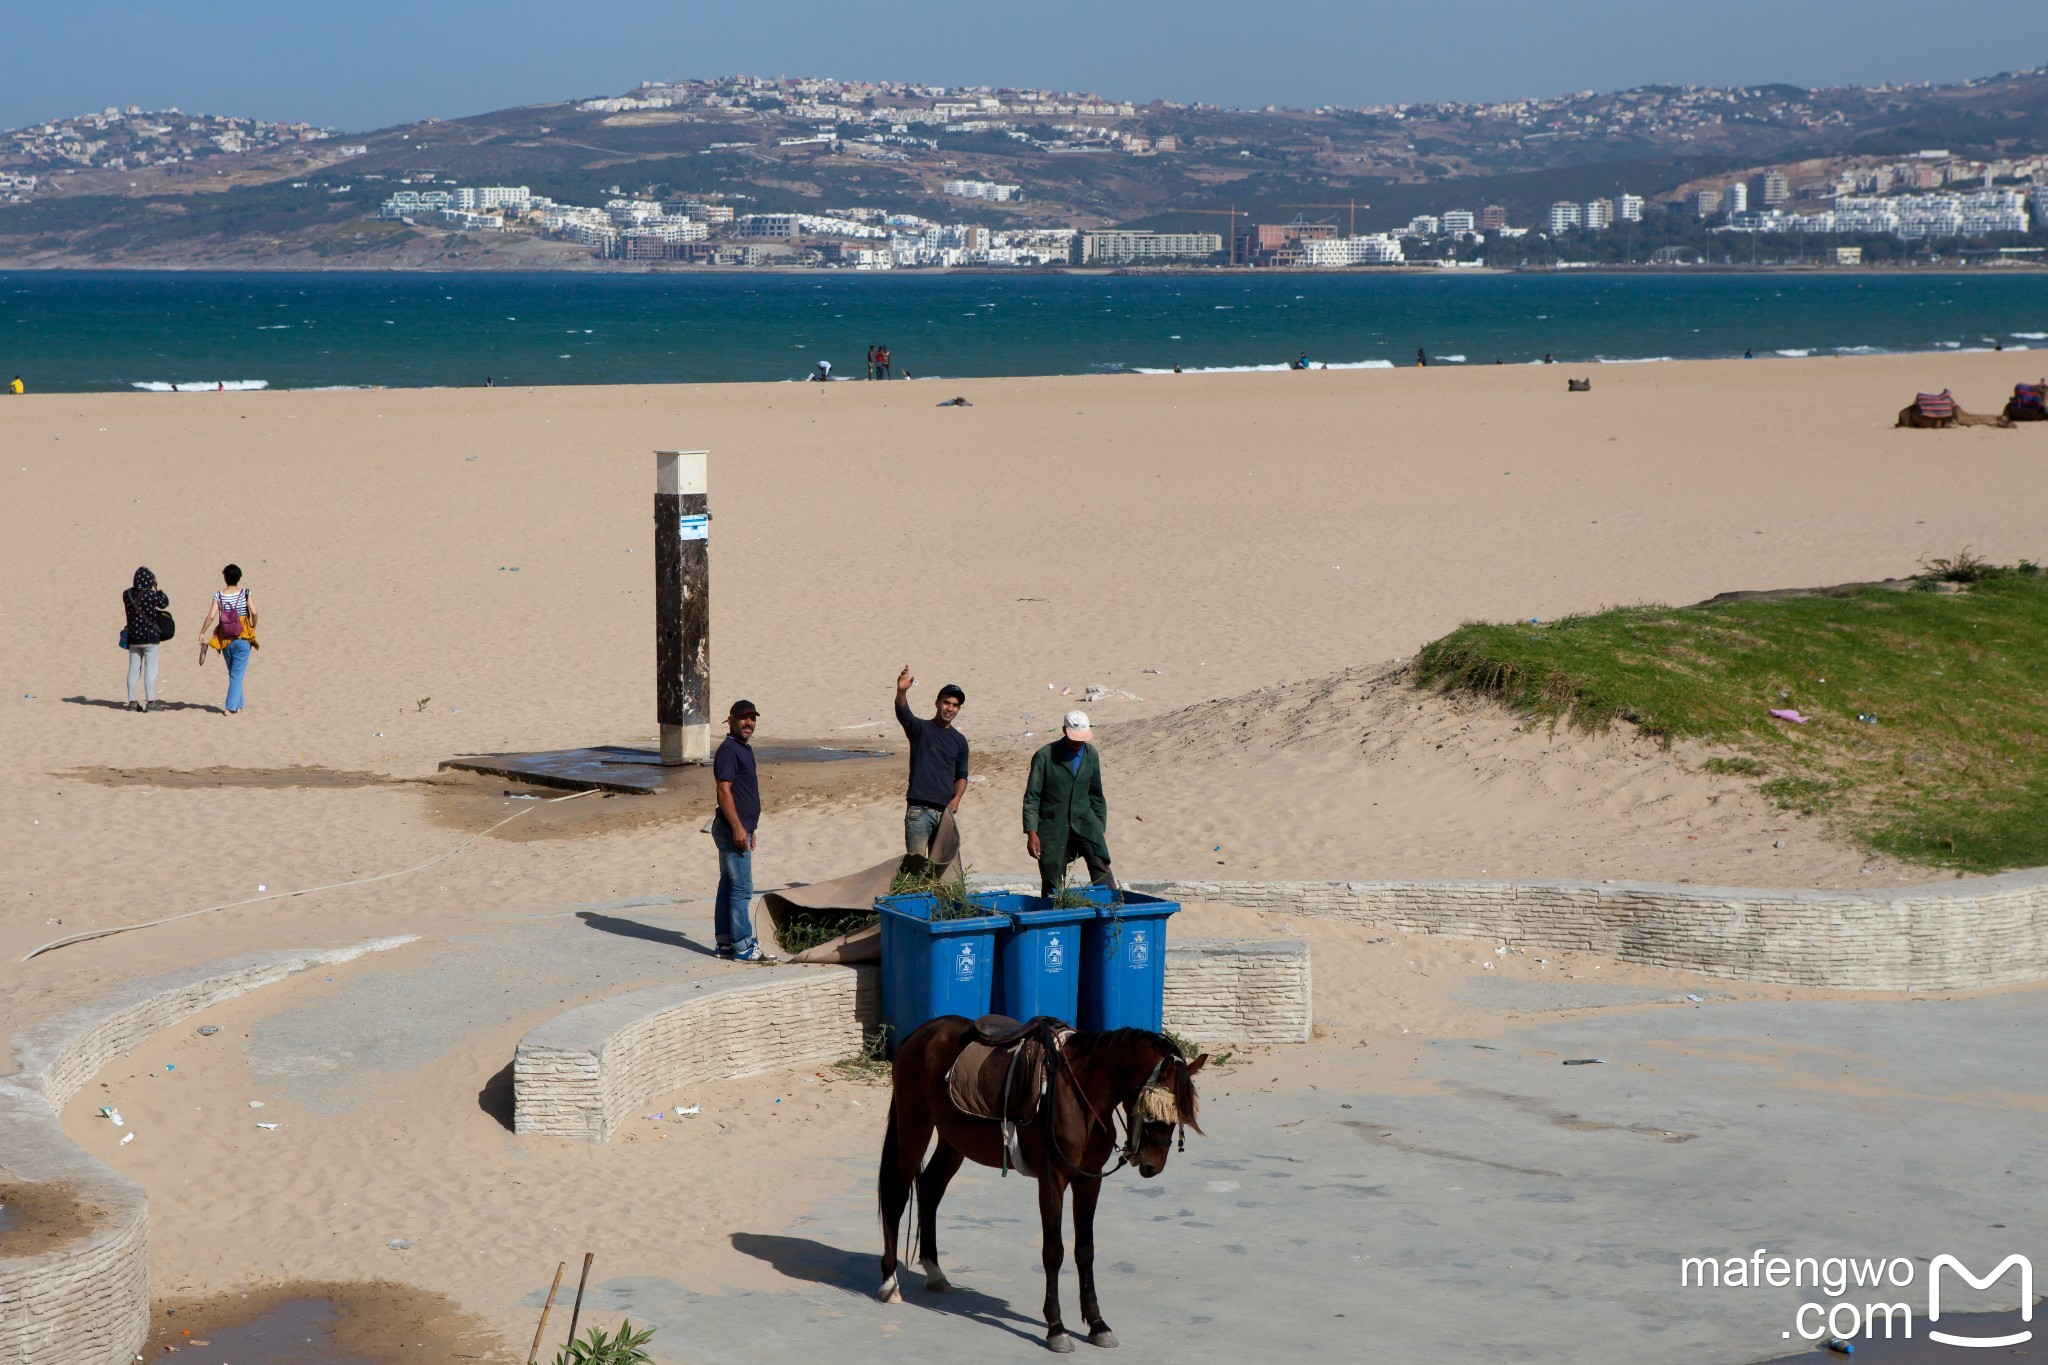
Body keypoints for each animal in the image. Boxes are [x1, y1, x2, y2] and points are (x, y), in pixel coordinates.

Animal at [876, 1015, 1196, 1358]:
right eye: (1152, 1111)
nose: (1153, 1165)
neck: (1083, 1095)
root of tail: (920, 1033)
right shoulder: (1052, 1178)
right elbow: (1054, 1251)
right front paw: (1056, 1328)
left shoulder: (1088, 1179)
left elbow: (1085, 1250)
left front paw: (1097, 1324)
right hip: (915, 1125)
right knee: (896, 1196)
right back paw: (890, 1282)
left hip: (954, 1140)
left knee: (930, 1189)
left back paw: (934, 1271)